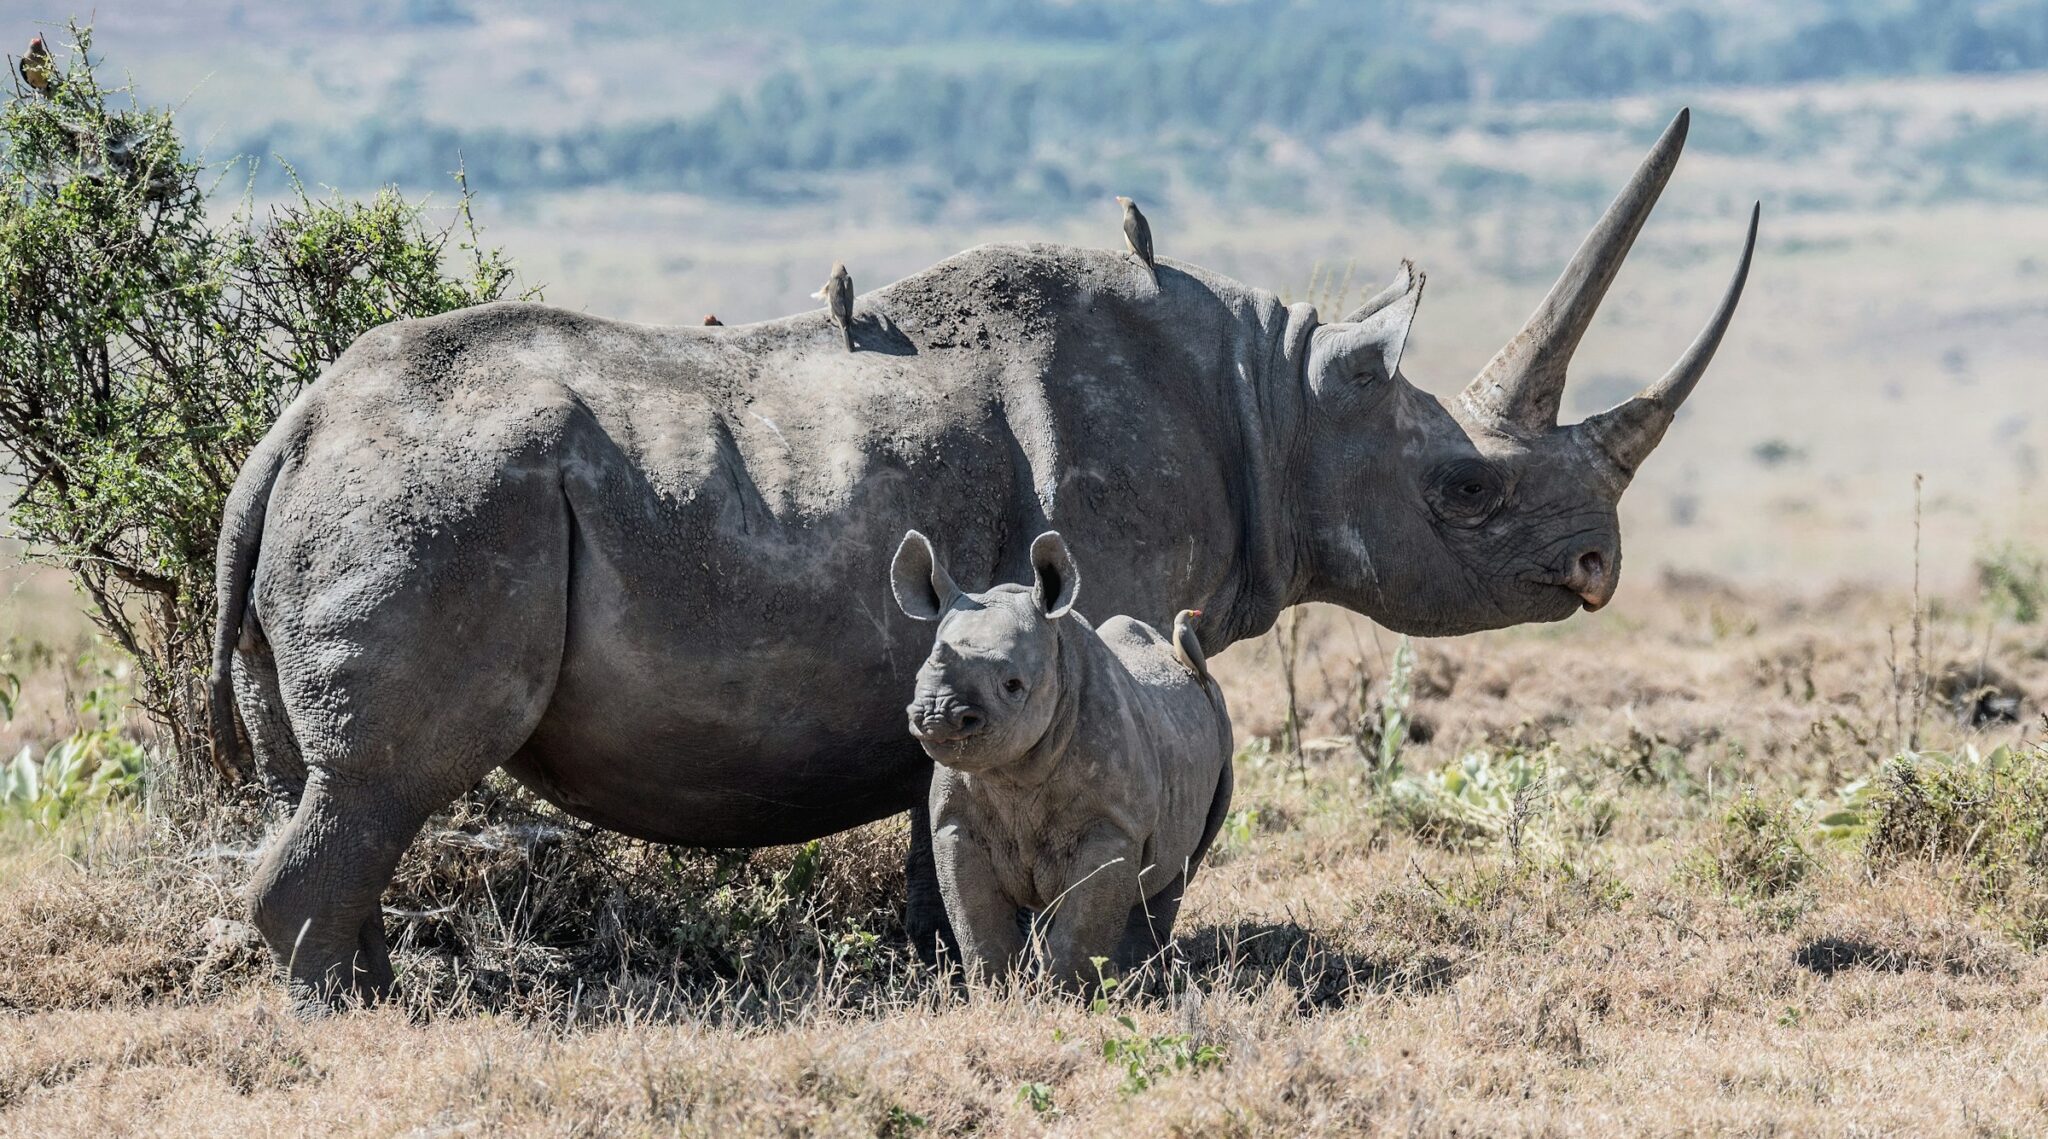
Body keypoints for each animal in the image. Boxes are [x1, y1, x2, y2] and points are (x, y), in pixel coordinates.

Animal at [894, 529, 1234, 986]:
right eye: (918, 677)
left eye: (1013, 685)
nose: (937, 715)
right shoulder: (955, 823)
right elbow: (978, 925)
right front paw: (997, 992)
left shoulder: (1113, 826)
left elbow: (1081, 930)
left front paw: (1067, 995)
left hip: (1221, 737)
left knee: (1178, 872)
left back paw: (1134, 983)